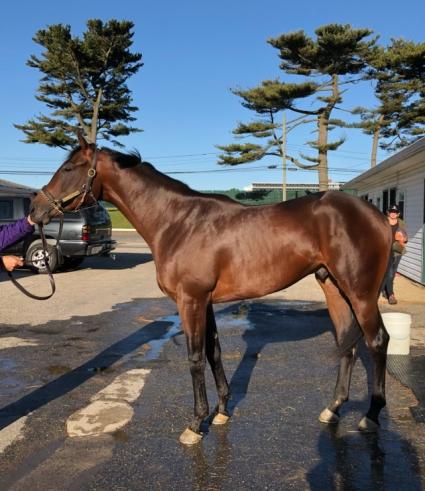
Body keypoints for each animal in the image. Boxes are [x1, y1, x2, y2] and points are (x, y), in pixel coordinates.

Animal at [30, 135, 390, 446]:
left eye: (69, 168)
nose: (35, 210)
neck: (177, 223)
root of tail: (377, 216)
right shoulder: (206, 302)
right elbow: (213, 351)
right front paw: (221, 412)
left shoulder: (190, 300)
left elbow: (194, 357)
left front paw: (195, 423)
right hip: (334, 289)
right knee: (347, 344)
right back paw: (333, 409)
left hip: (360, 293)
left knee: (376, 341)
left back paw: (371, 416)